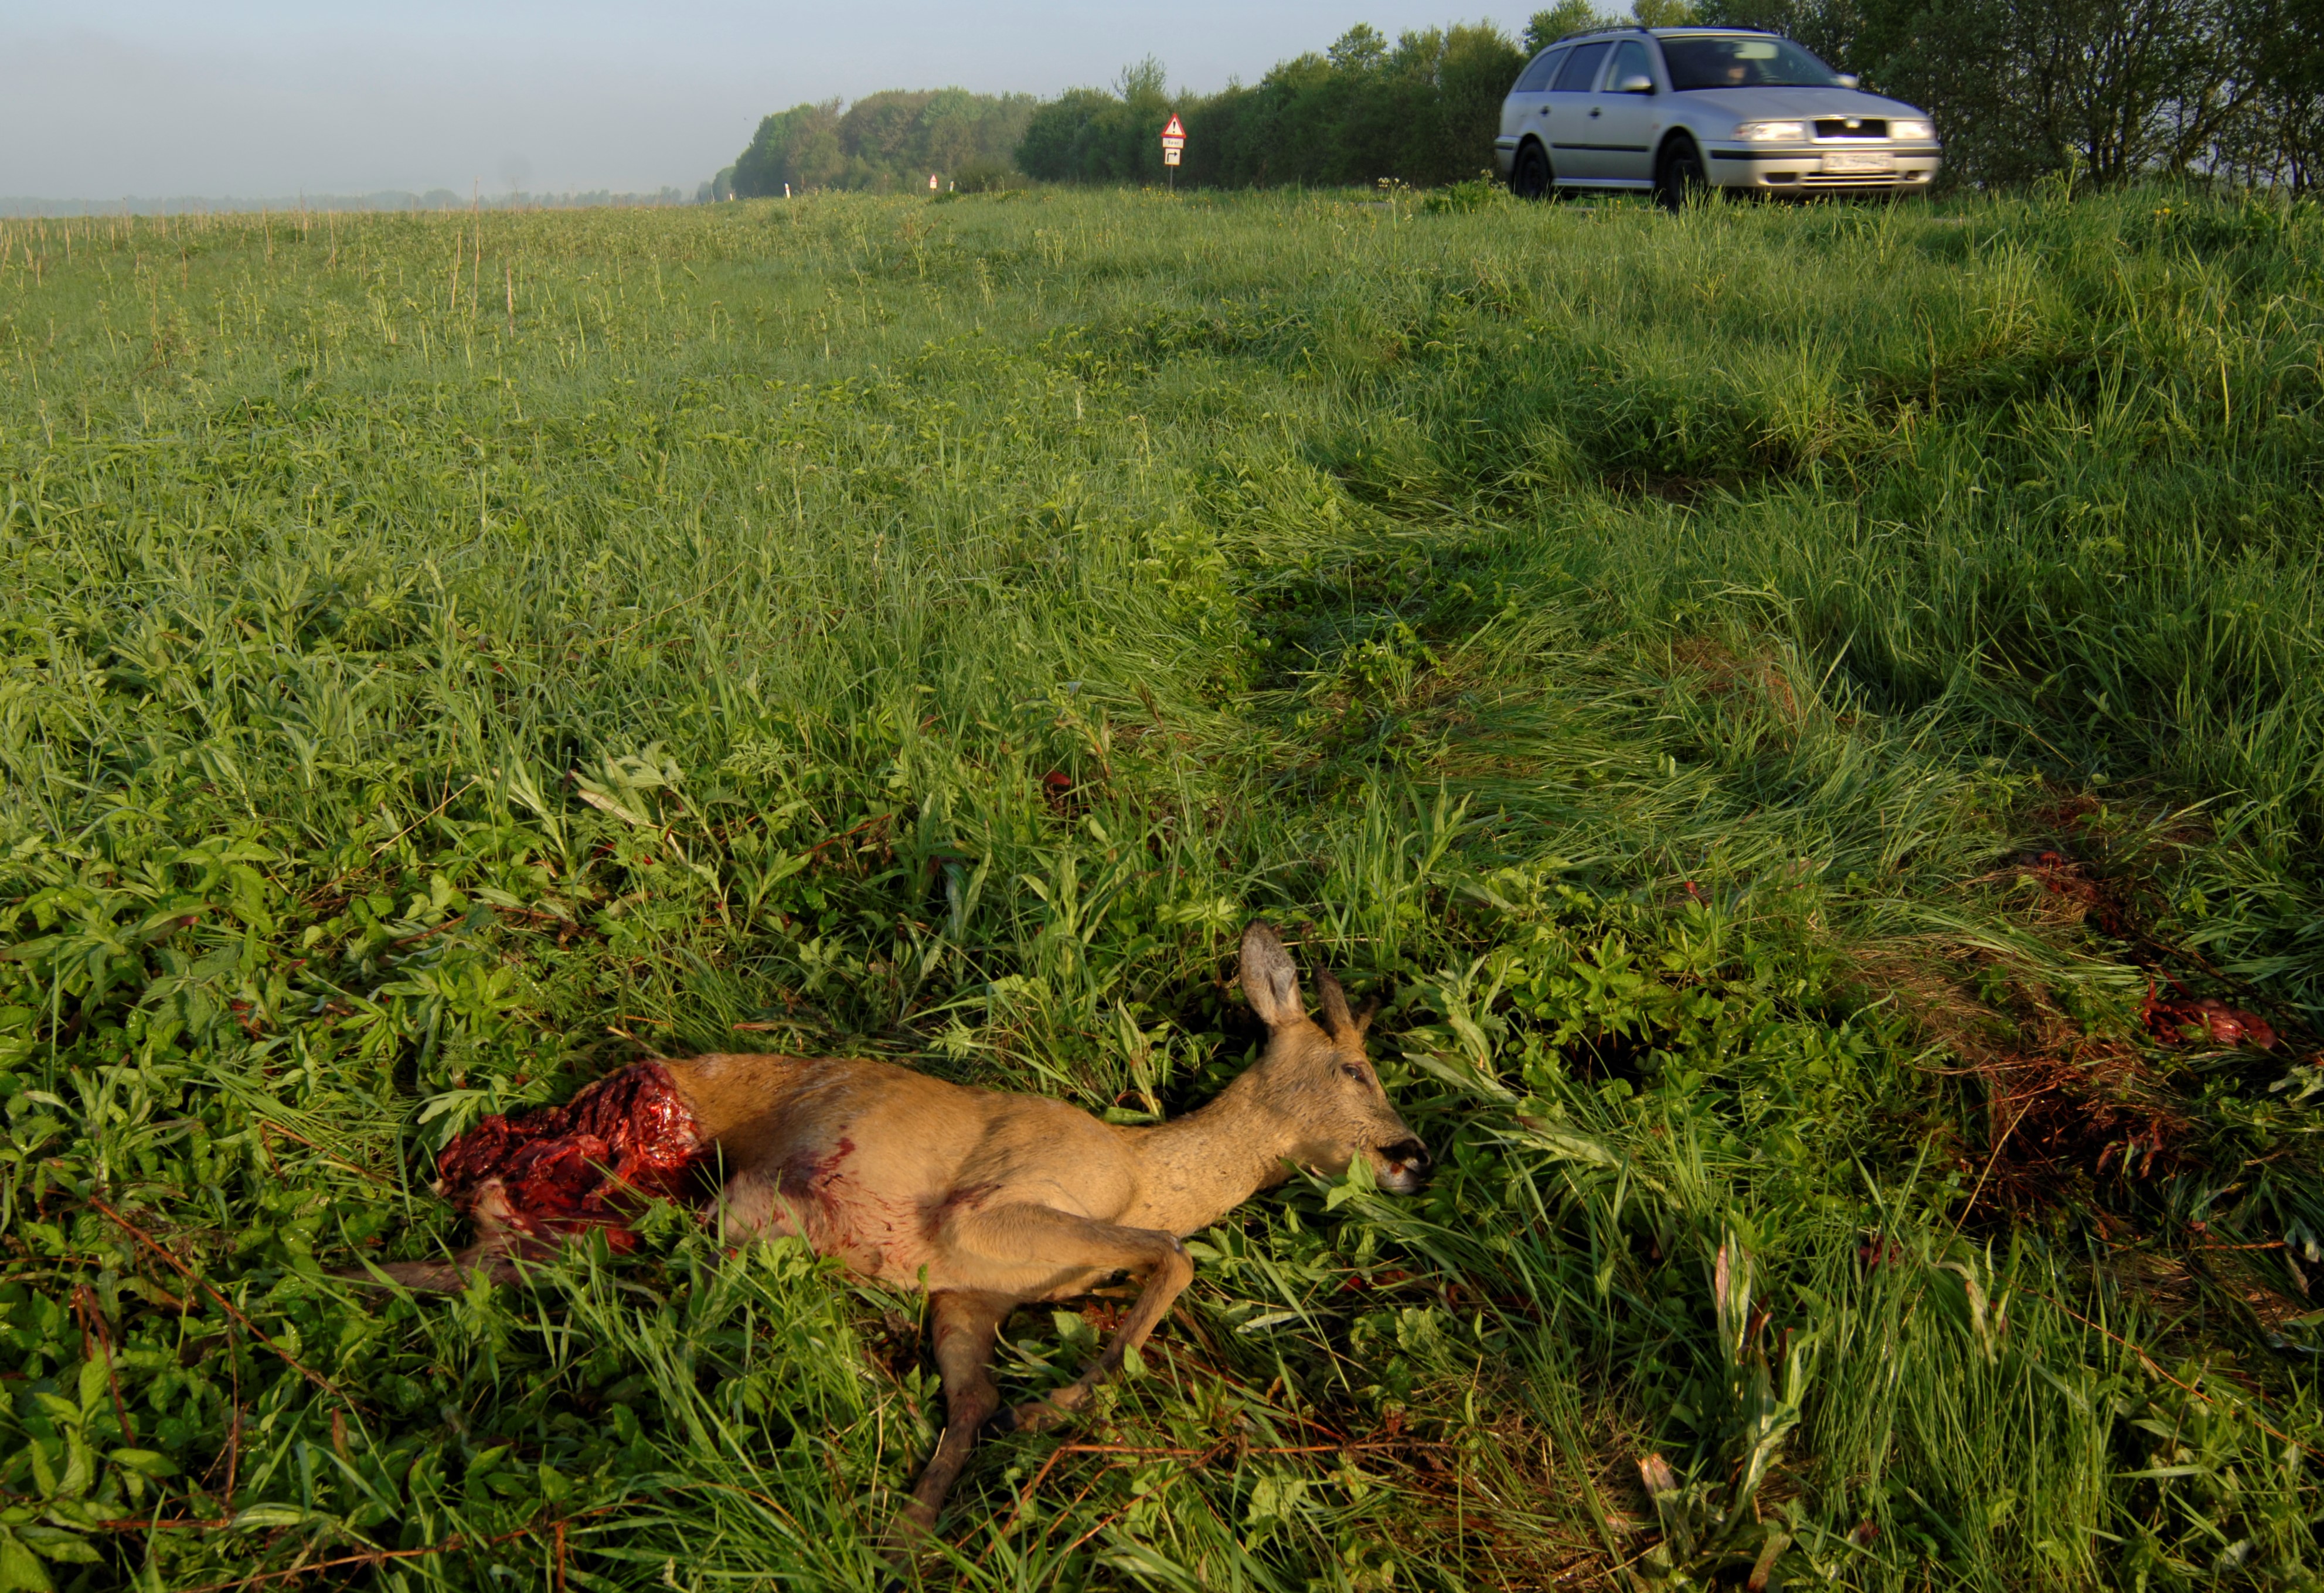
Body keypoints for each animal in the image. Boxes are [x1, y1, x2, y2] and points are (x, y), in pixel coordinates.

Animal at [372, 925, 1422, 1534]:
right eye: (1355, 1069)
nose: (1415, 1154)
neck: (1142, 1172)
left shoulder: (966, 1292)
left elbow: (969, 1401)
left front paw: (911, 1536)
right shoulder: (990, 1203)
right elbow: (1176, 1257)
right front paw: (1054, 1408)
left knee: (507, 1253)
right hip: (672, 1187)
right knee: (520, 1245)